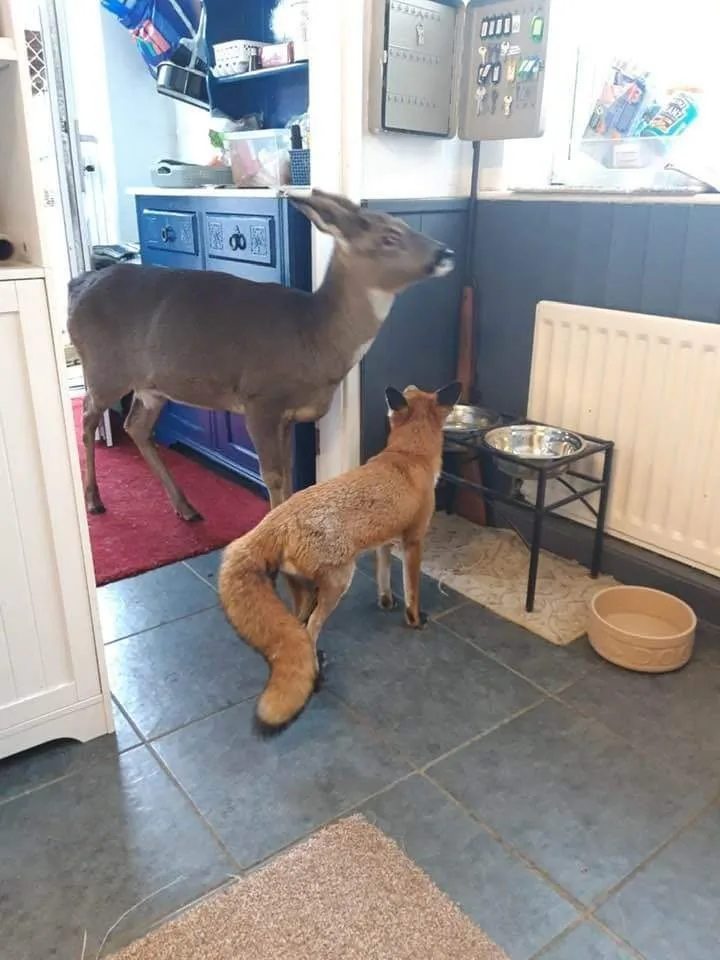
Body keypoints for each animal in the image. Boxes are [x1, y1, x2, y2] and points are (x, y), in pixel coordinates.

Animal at [218, 380, 462, 731]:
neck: (407, 456)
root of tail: (276, 519)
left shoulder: (385, 541)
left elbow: (384, 575)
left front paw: (386, 601)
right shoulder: (414, 540)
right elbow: (412, 589)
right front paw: (415, 619)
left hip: (303, 590)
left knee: (298, 628)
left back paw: (314, 663)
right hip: (339, 582)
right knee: (310, 628)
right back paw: (316, 678)